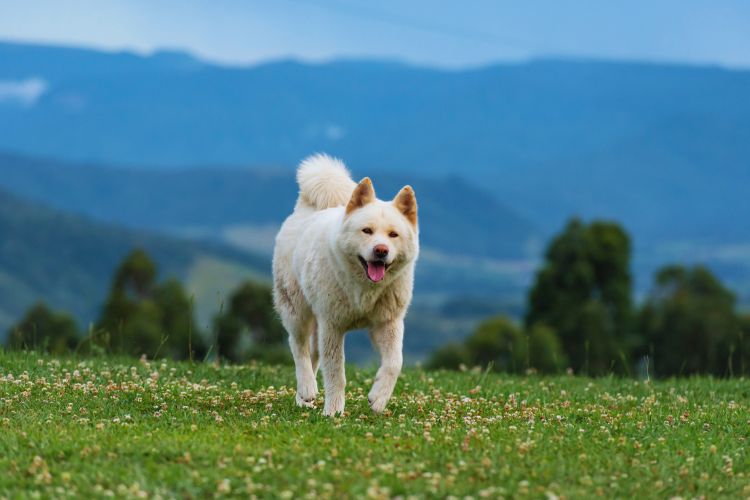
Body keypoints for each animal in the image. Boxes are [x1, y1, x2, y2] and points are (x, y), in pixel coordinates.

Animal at [274, 154, 420, 416]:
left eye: (393, 235)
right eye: (367, 231)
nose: (381, 250)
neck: (364, 288)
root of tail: (305, 209)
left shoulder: (388, 323)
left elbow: (395, 363)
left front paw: (378, 398)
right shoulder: (332, 326)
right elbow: (336, 374)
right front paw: (333, 411)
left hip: (317, 321)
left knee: (312, 353)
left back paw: (304, 399)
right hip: (296, 309)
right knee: (298, 347)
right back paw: (307, 387)